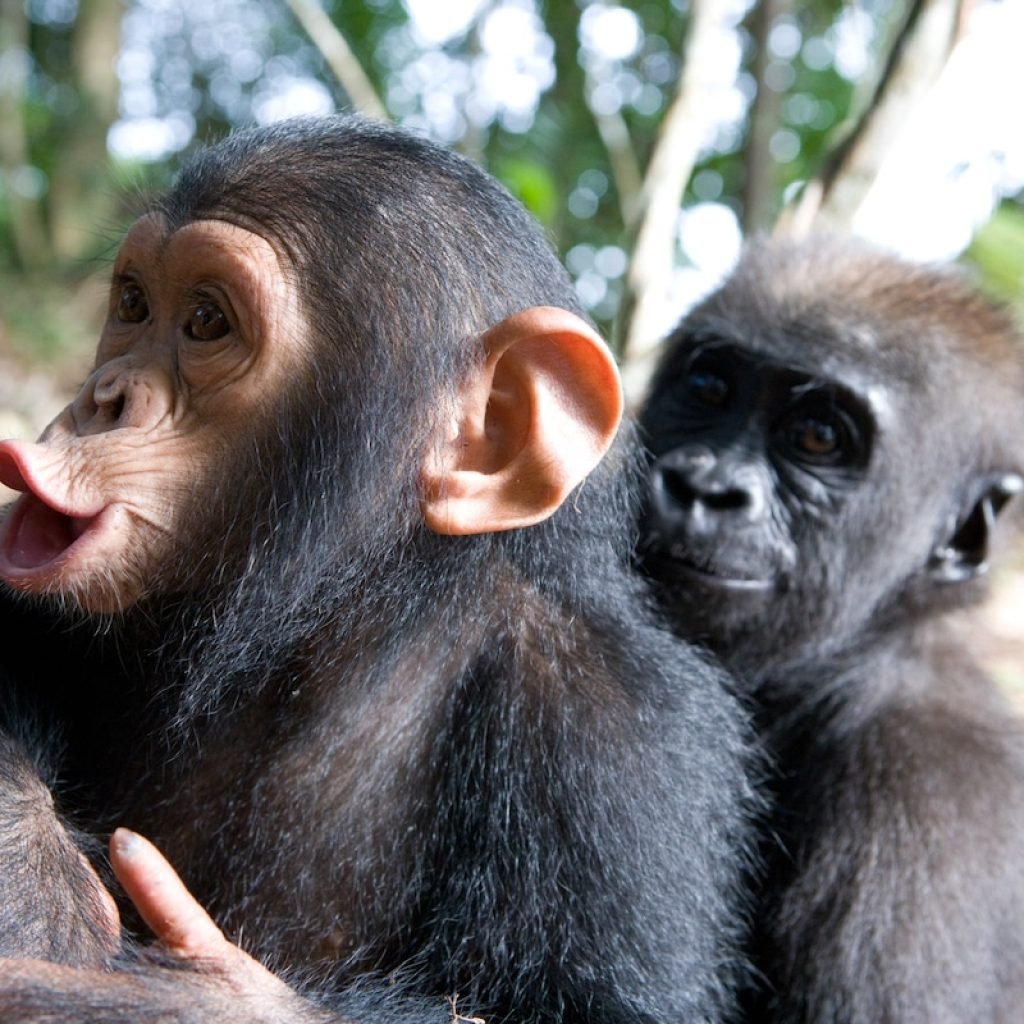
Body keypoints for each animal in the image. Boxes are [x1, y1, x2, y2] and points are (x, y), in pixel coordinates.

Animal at [0, 115, 755, 1023]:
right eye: (134, 306)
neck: (333, 620)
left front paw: (187, 994)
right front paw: (32, 853)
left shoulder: (621, 735)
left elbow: (596, 1006)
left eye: (207, 320)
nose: (102, 398)